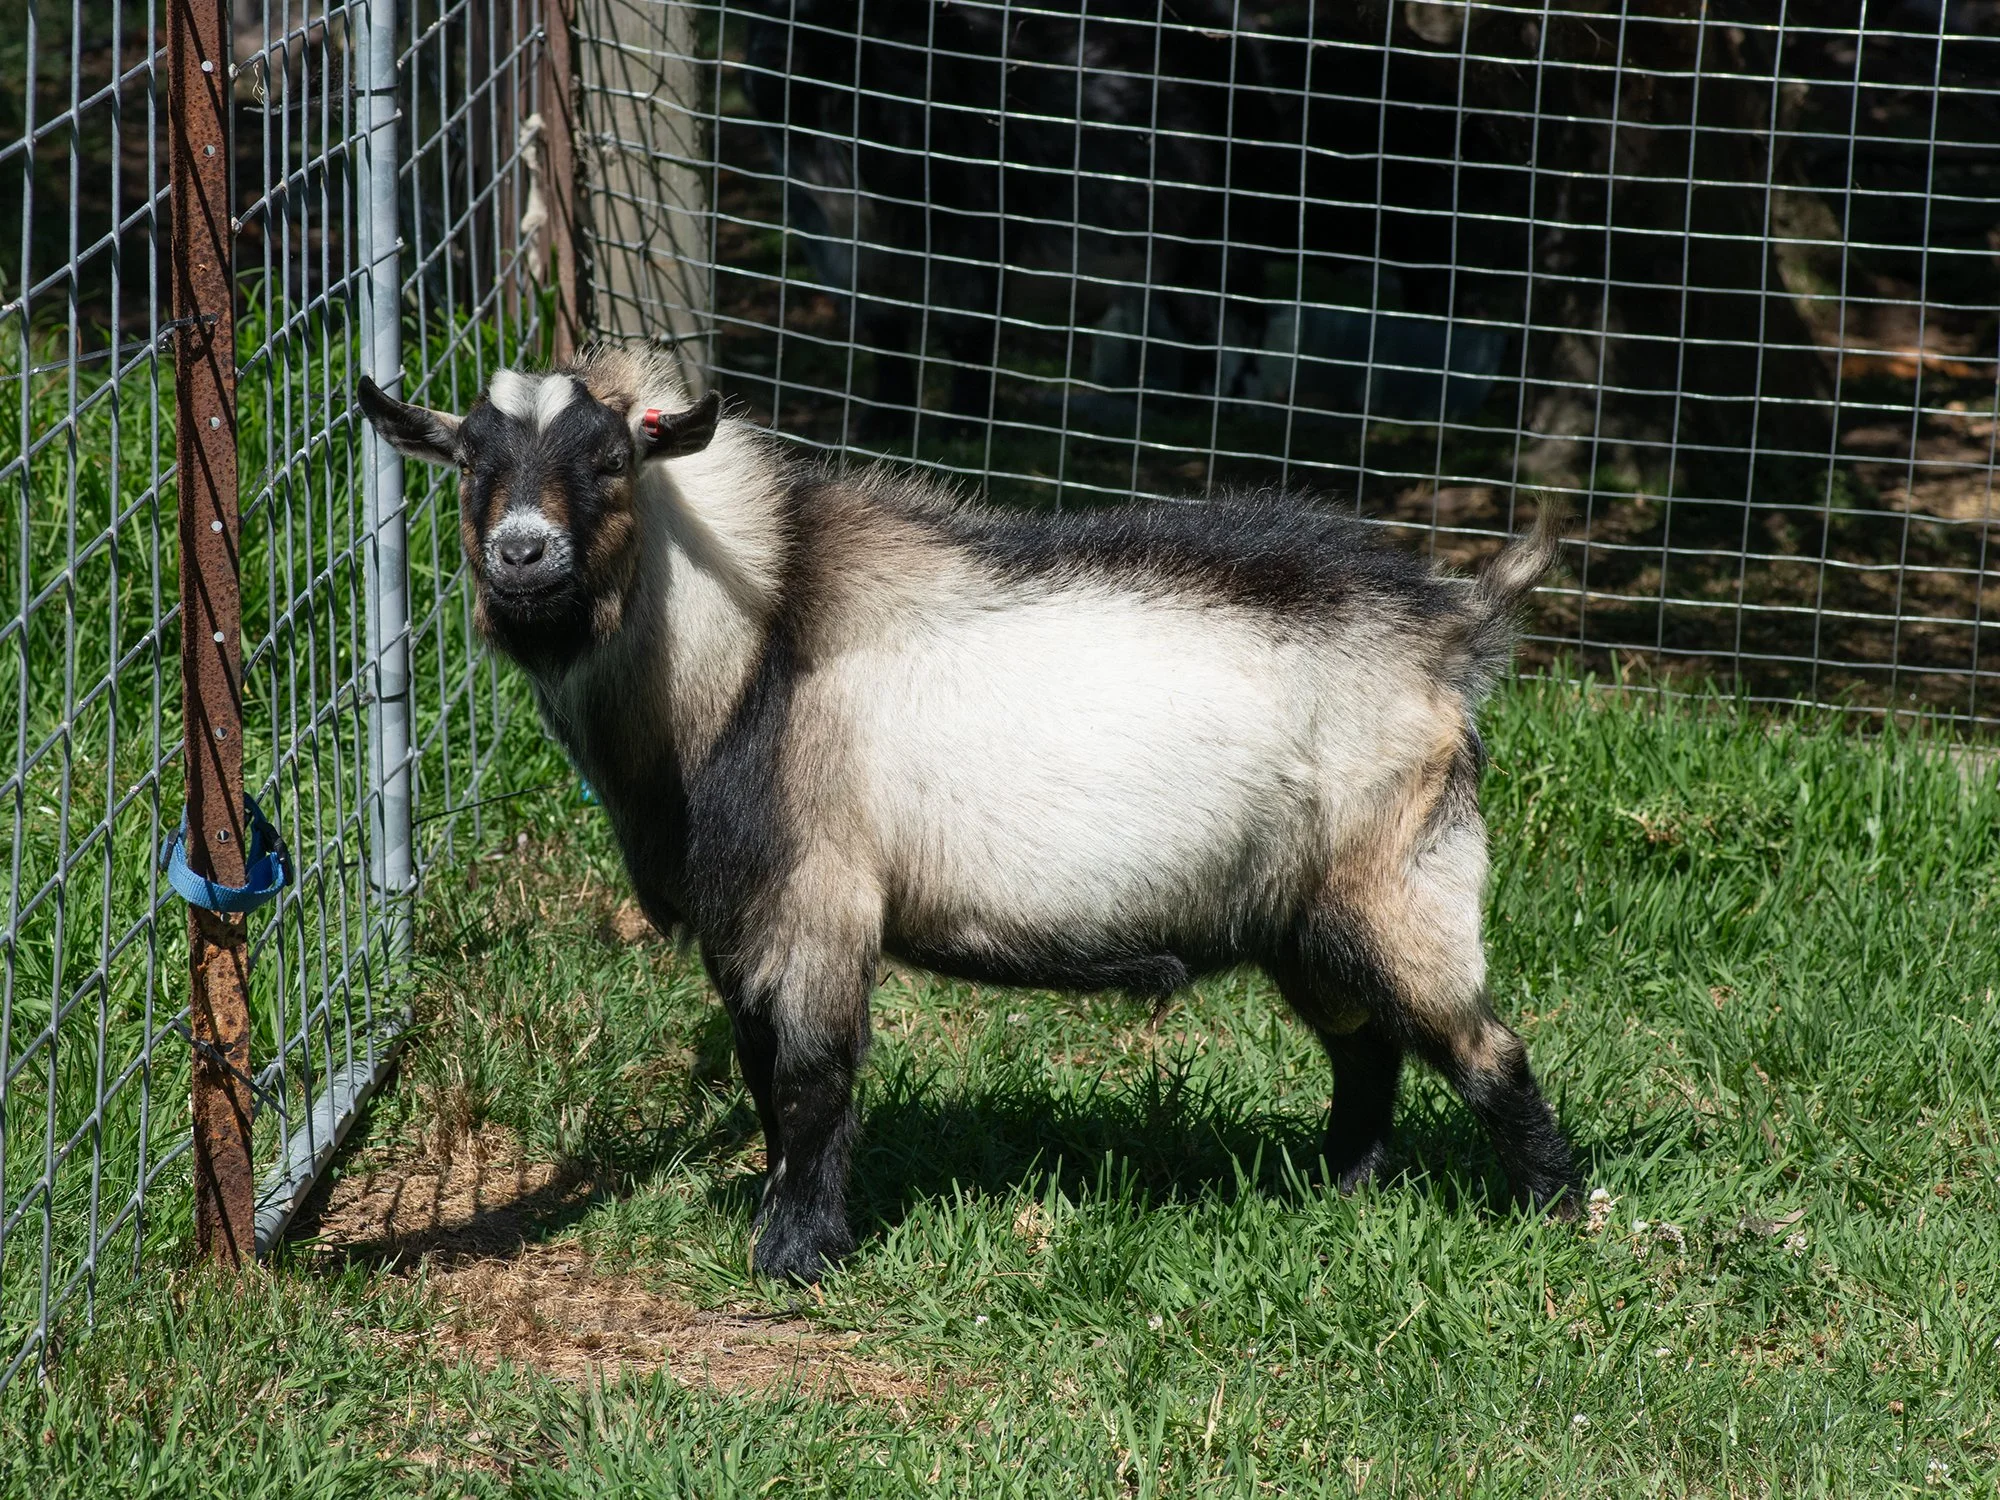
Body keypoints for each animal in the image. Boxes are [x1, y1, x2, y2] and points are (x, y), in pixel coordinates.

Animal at [358, 347, 1581, 1282]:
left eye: (611, 460)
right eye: (468, 463)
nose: (522, 554)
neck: (745, 651)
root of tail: (1452, 627)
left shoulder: (819, 899)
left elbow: (811, 1079)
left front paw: (796, 1255)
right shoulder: (739, 918)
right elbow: (757, 1069)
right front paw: (778, 1208)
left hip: (1402, 877)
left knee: (1482, 1048)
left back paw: (1560, 1211)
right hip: (1303, 912)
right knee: (1365, 1044)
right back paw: (1342, 1185)